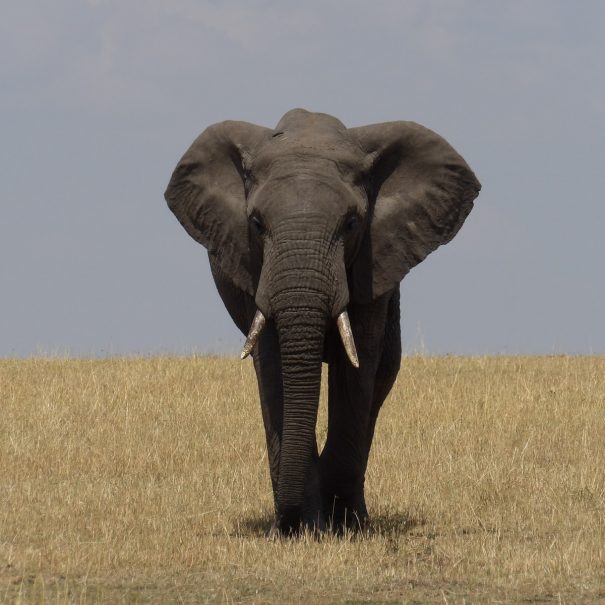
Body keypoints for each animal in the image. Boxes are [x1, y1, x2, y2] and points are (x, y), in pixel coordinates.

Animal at [163, 108, 478, 532]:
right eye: (256, 224)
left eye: (351, 224)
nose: (286, 522)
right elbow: (274, 365)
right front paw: (303, 528)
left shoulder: (372, 262)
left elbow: (356, 367)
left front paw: (344, 525)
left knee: (383, 374)